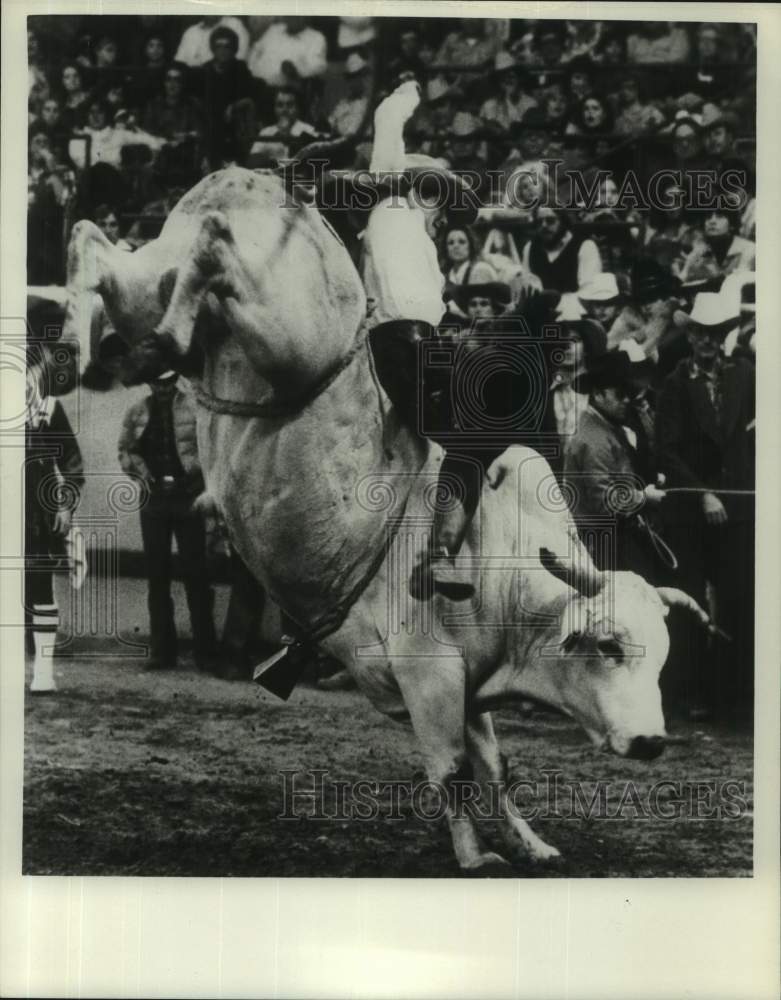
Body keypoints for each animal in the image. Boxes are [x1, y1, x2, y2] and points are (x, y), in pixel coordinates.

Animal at [65, 160, 712, 872]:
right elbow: (453, 769)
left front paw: (530, 843)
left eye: (664, 656)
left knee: (106, 255)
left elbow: (496, 767)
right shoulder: (428, 672)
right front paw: (475, 857)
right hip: (288, 333)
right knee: (205, 249)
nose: (652, 740)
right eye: (607, 645)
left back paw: (93, 326)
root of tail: (243, 178)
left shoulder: (469, 689)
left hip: (154, 285)